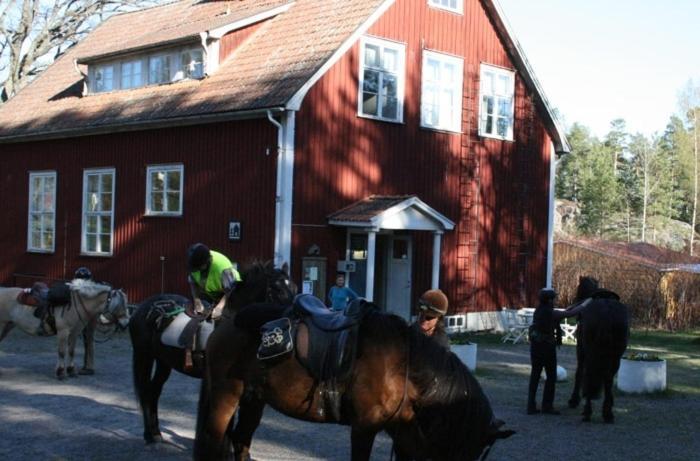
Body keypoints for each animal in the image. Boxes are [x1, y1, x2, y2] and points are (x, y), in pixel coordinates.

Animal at [0, 276, 130, 378]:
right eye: (119, 304)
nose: (126, 323)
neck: (75, 304)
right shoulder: (63, 331)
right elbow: (62, 351)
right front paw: (60, 372)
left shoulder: (75, 332)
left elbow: (71, 351)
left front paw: (71, 371)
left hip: (7, 326)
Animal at [129, 258, 296, 442]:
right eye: (276, 288)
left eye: (294, 287)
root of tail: (143, 308)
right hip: (144, 356)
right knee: (145, 391)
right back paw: (149, 435)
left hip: (163, 362)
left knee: (153, 392)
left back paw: (156, 433)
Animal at [194, 300, 512, 458]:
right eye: (468, 450)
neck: (402, 366)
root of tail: (225, 323)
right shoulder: (364, 428)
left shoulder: (404, 434)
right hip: (226, 395)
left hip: (254, 399)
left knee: (240, 441)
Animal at [568, 274, 628, 422]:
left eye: (578, 288)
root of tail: (607, 309)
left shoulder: (581, 350)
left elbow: (579, 373)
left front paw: (574, 400)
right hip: (615, 357)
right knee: (608, 379)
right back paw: (607, 413)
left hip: (590, 354)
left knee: (589, 376)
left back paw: (587, 411)